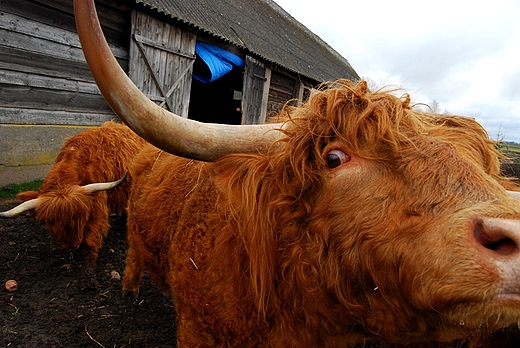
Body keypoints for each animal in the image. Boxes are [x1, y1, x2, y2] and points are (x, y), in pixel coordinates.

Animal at [0, 121, 146, 286]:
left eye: (81, 217)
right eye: (51, 221)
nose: (71, 245)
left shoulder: (97, 207)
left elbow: (91, 238)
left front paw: (88, 273)